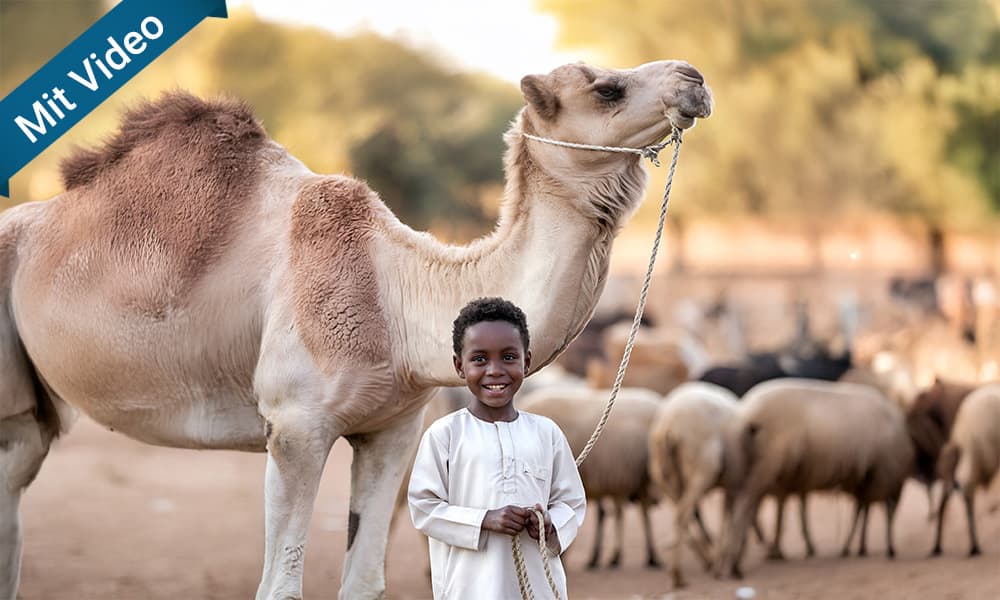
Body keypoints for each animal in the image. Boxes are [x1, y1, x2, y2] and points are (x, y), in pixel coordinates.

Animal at [0, 60, 711, 599]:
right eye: (606, 87)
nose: (694, 78)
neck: (397, 297)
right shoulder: (294, 427)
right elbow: (280, 586)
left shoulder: (393, 428)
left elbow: (365, 578)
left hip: (32, 418)